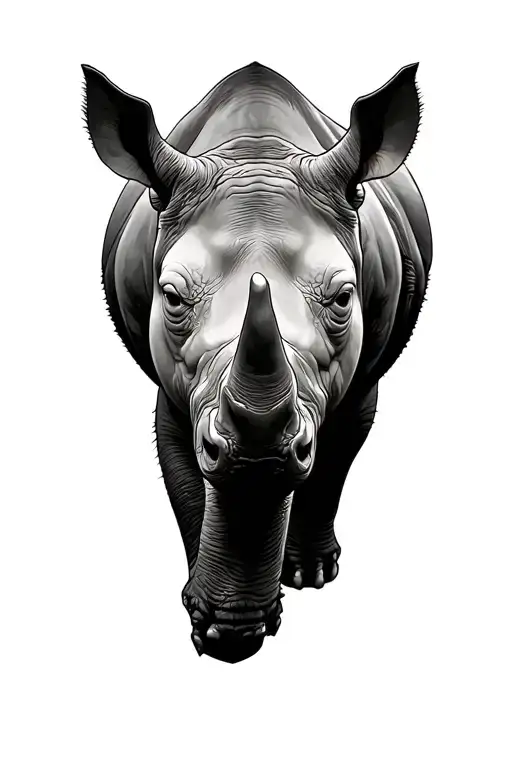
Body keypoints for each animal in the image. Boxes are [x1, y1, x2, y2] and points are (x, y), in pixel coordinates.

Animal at [82, 61, 432, 663]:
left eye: (345, 298)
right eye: (171, 298)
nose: (259, 455)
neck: (257, 152)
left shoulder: (361, 377)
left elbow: (335, 458)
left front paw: (308, 577)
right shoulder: (178, 385)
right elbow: (185, 472)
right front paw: (214, 624)